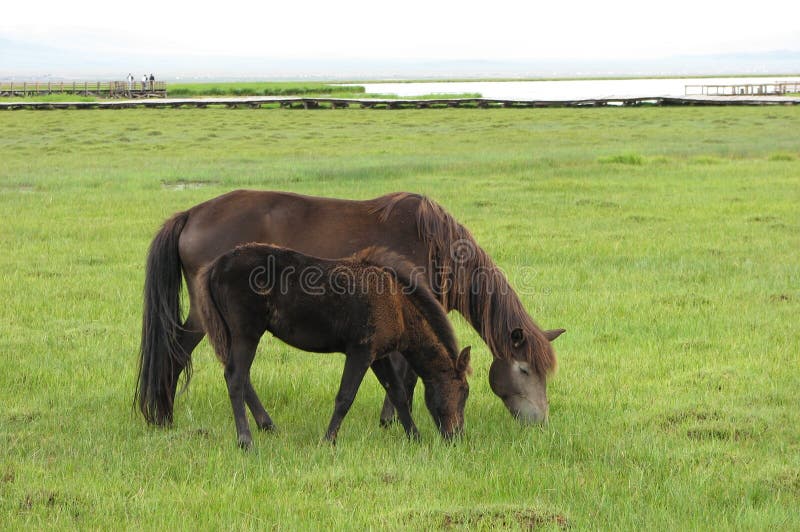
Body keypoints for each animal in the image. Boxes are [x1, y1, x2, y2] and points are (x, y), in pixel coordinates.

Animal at [198, 243, 472, 446]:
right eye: (463, 392)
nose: (456, 438)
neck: (397, 304)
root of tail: (215, 266)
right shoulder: (360, 352)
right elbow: (345, 397)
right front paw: (328, 440)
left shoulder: (378, 355)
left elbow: (398, 394)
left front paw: (415, 437)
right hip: (246, 333)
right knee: (235, 377)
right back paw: (246, 440)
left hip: (236, 336)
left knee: (241, 376)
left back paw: (268, 426)